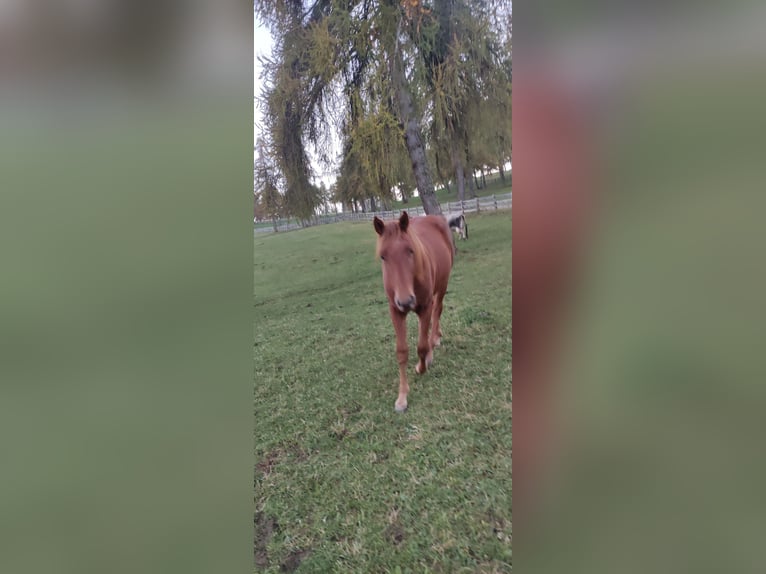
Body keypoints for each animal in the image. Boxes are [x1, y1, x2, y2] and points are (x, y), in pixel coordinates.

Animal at [374, 212, 456, 414]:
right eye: (383, 256)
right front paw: (402, 397)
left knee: (437, 310)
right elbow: (402, 351)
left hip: (442, 284)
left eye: (410, 250)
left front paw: (421, 367)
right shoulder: (396, 311)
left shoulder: (424, 307)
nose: (406, 301)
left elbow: (422, 346)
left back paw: (433, 344)